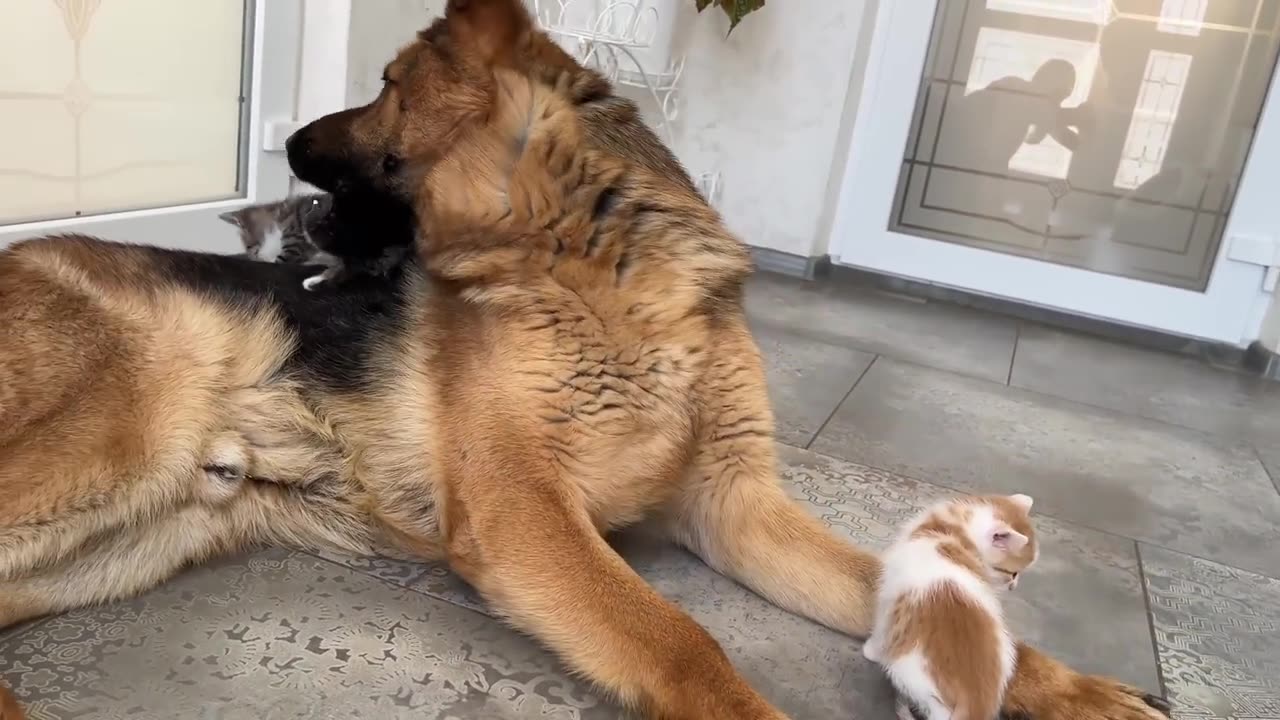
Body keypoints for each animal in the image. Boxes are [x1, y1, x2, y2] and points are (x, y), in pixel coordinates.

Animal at [865, 491, 1034, 717]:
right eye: (1013, 573)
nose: (1014, 586)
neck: (951, 533)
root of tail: (976, 703)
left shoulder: (891, 594)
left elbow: (882, 627)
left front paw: (871, 650)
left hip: (913, 676)